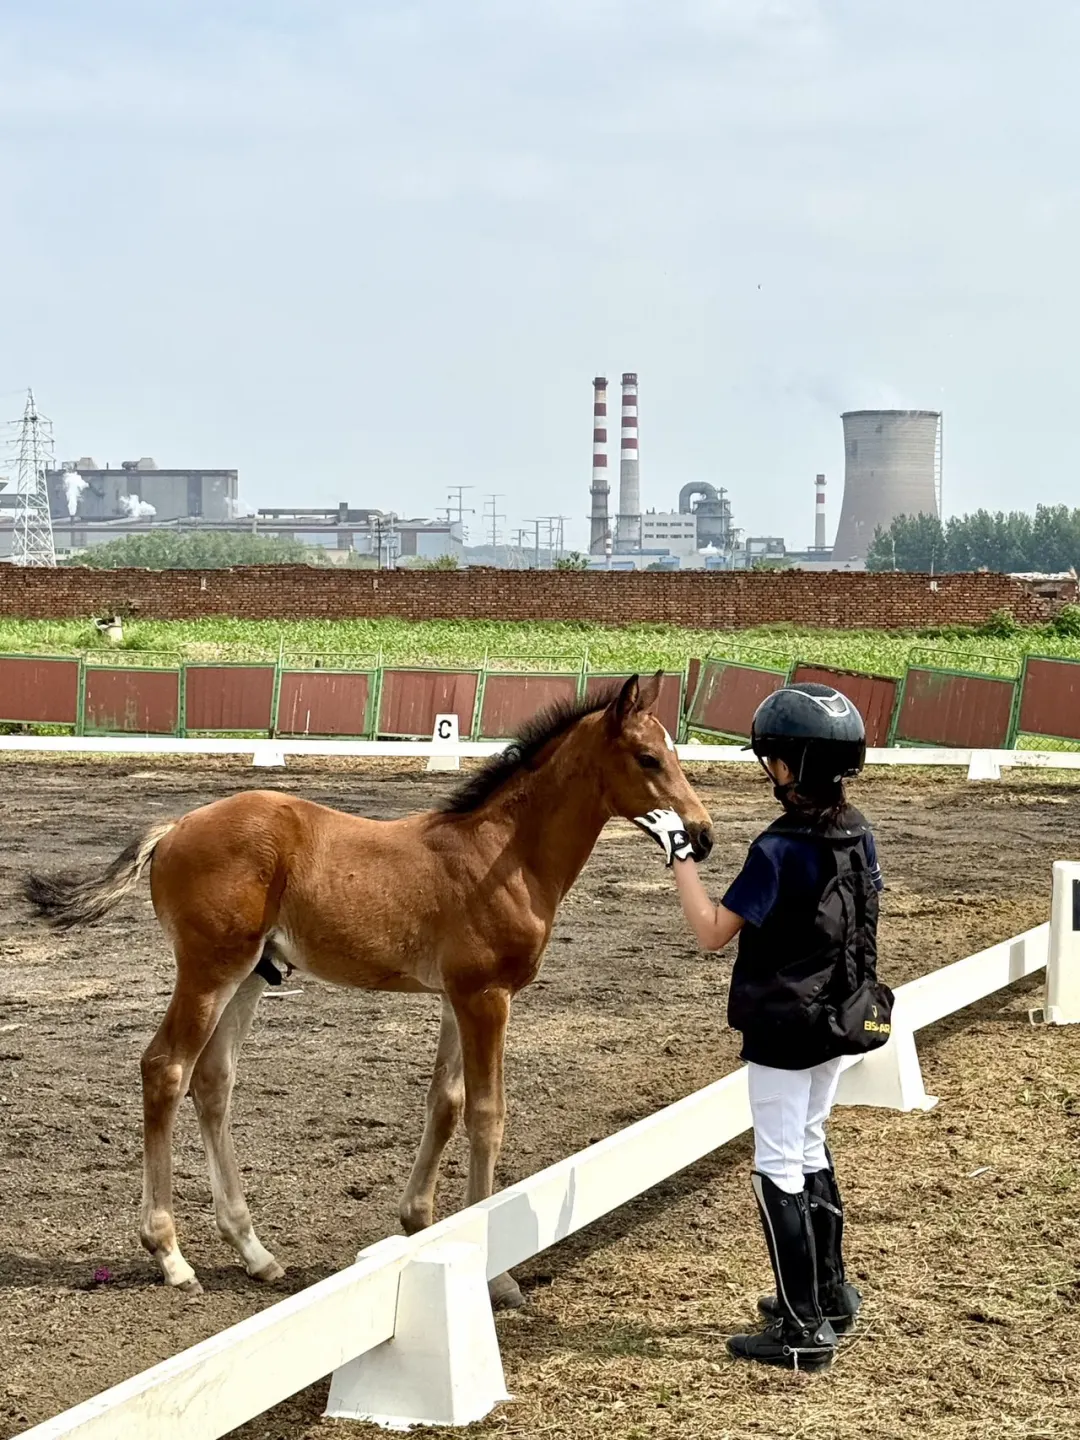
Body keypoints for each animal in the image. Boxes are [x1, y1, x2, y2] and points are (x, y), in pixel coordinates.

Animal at [23, 672, 714, 1306]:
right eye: (647, 758)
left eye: (675, 751)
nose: (702, 835)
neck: (503, 854)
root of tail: (175, 827)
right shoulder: (487, 996)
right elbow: (487, 1114)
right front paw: (497, 1271)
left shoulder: (456, 998)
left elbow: (446, 1103)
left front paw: (420, 1222)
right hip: (209, 970)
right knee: (166, 1068)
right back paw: (170, 1255)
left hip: (247, 977)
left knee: (213, 1081)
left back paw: (254, 1252)